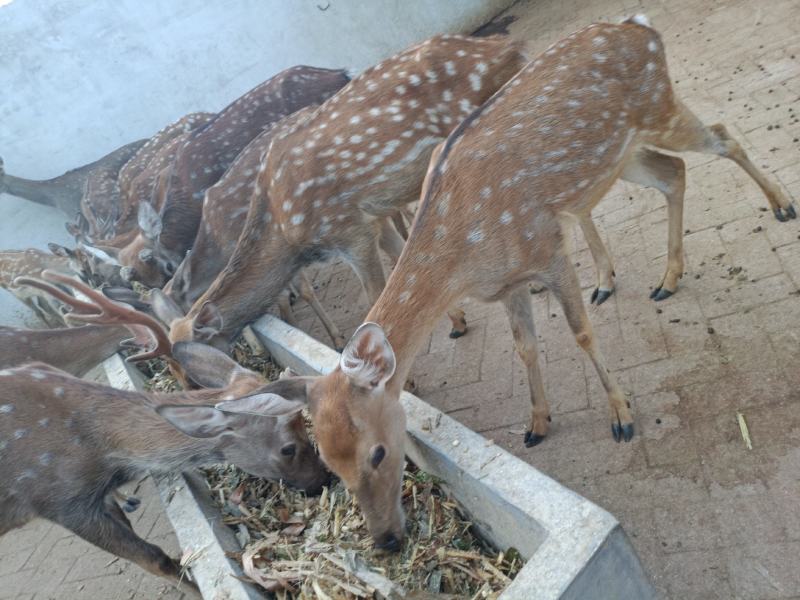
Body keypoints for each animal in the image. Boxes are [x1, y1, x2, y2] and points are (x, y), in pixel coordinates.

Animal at [165, 34, 530, 351]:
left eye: (188, 353)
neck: (286, 234)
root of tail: (510, 46)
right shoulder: (371, 218)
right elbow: (400, 257)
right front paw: (458, 322)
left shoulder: (350, 230)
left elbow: (374, 299)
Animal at [231, 17, 798, 551]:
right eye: (328, 458)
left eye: (379, 451)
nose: (386, 540)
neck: (465, 252)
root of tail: (638, 25)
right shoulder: (508, 282)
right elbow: (525, 346)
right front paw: (537, 423)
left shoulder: (547, 247)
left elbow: (581, 332)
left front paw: (621, 417)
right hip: (623, 152)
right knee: (674, 172)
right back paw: (669, 277)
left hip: (659, 106)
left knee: (721, 133)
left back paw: (781, 206)